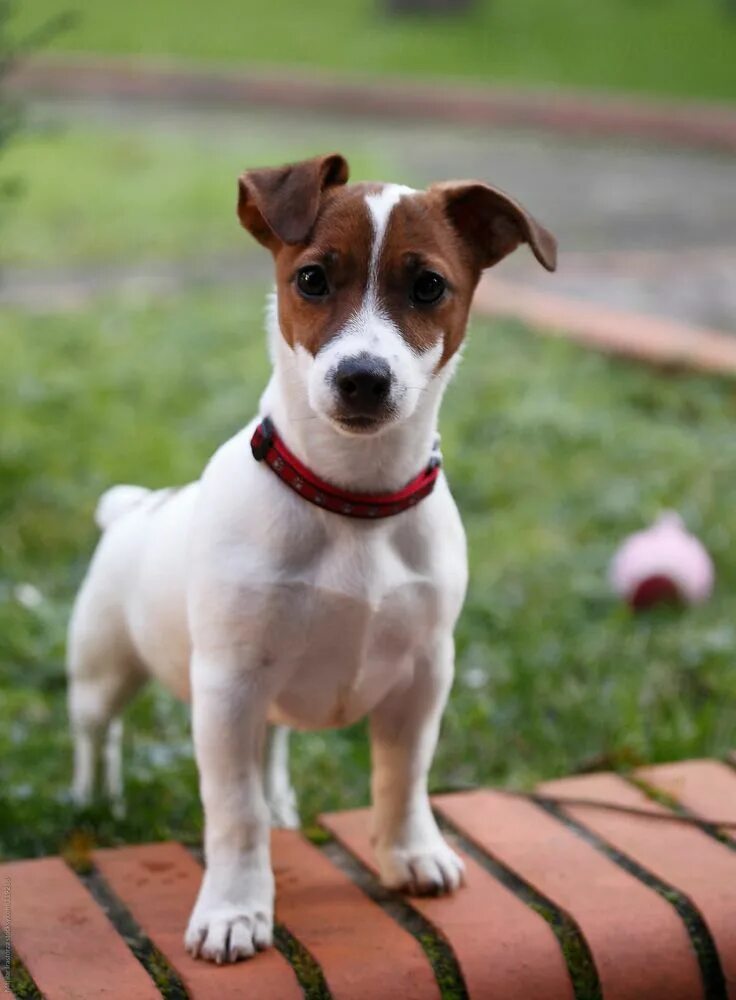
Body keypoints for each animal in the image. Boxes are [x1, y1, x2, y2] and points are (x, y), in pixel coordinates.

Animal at [67, 154, 552, 960]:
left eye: (429, 286)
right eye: (313, 279)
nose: (363, 378)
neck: (351, 499)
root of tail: (134, 509)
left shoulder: (424, 674)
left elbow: (402, 777)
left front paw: (411, 851)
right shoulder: (227, 685)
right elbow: (233, 812)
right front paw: (234, 908)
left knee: (271, 748)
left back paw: (283, 803)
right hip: (104, 668)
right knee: (97, 734)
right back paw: (90, 797)